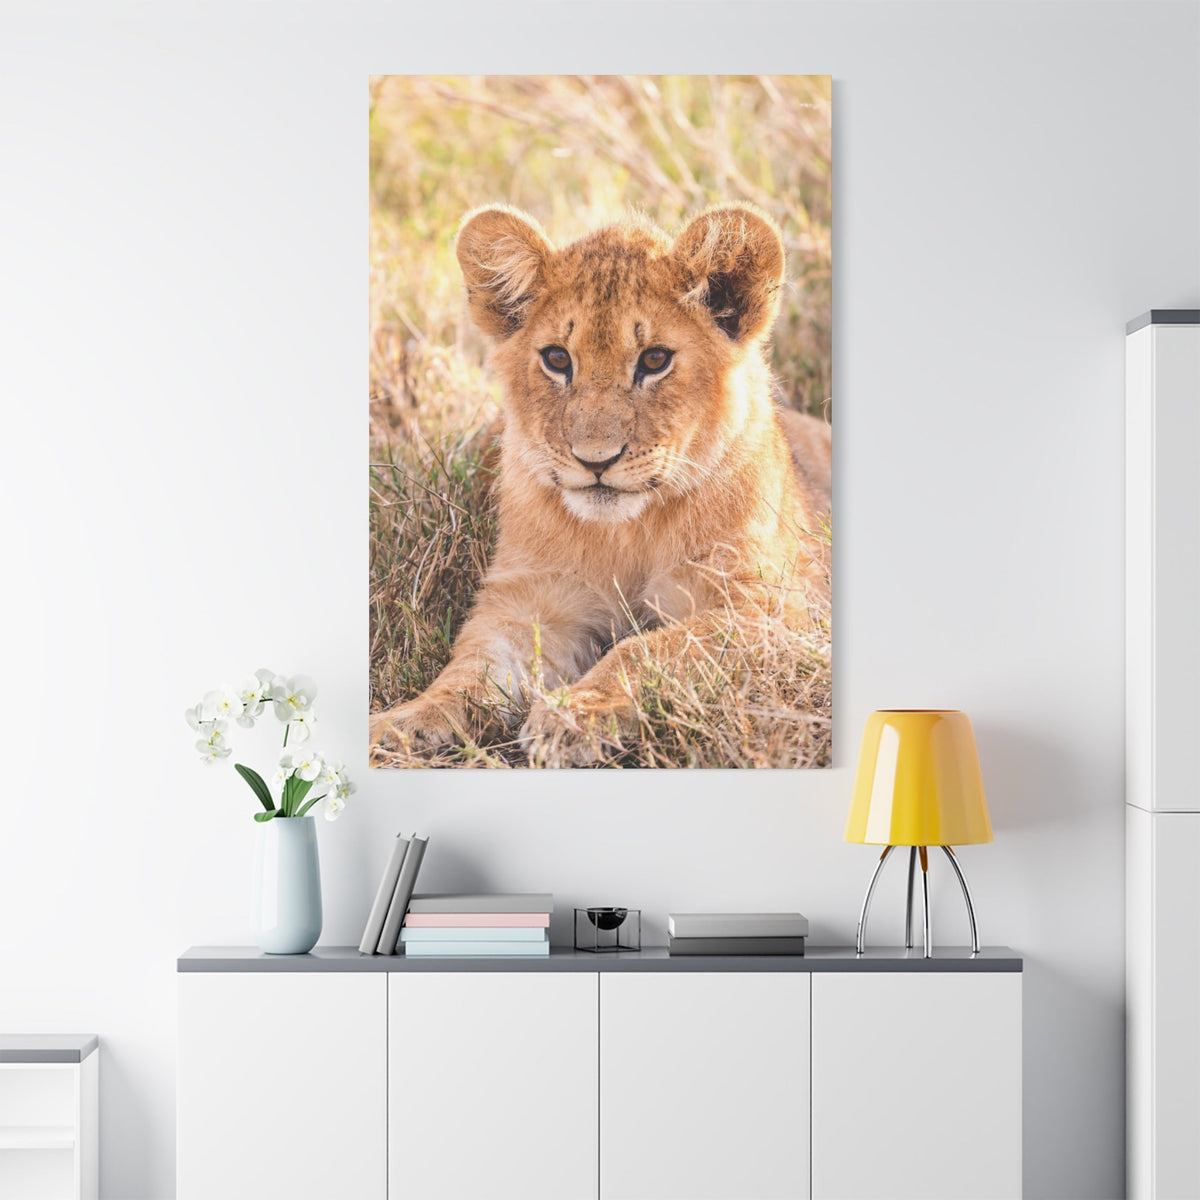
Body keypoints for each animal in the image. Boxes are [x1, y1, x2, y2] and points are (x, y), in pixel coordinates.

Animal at [370, 202, 831, 766]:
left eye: (655, 359)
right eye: (557, 359)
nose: (596, 461)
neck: (626, 533)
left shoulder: (775, 611)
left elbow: (650, 648)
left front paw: (575, 714)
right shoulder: (529, 602)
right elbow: (471, 669)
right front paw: (403, 723)